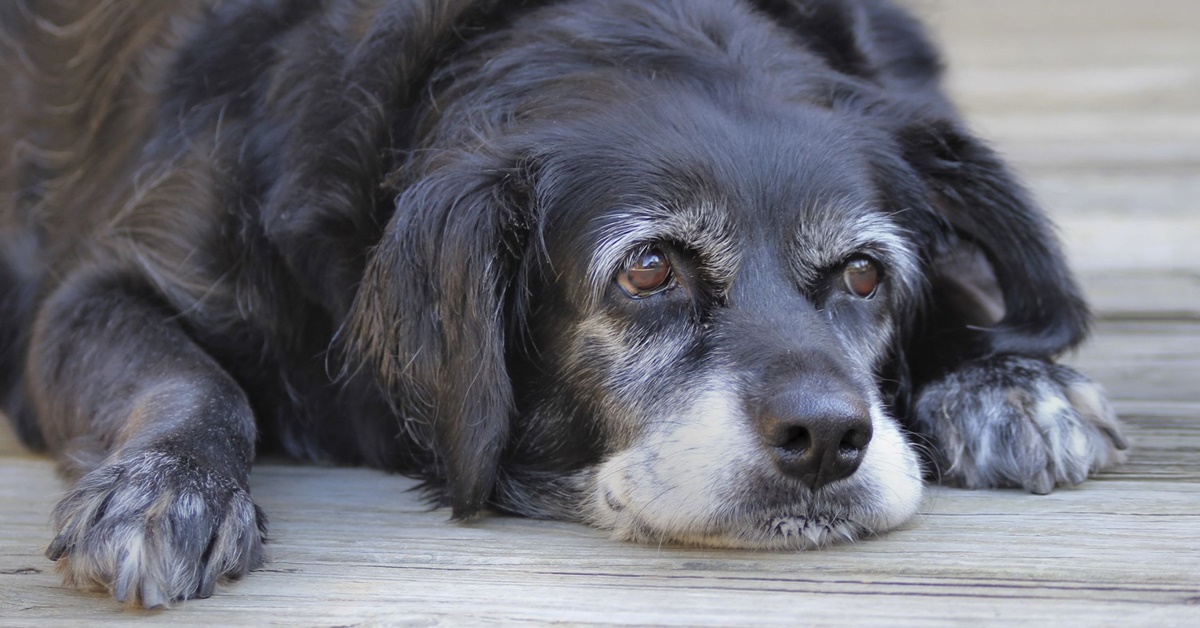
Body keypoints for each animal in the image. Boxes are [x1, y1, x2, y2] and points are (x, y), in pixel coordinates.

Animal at [0, 0, 1128, 609]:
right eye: (649, 269)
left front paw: (1006, 379)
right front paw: (168, 488)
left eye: (862, 274)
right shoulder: (97, 292)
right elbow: (192, 380)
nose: (827, 440)